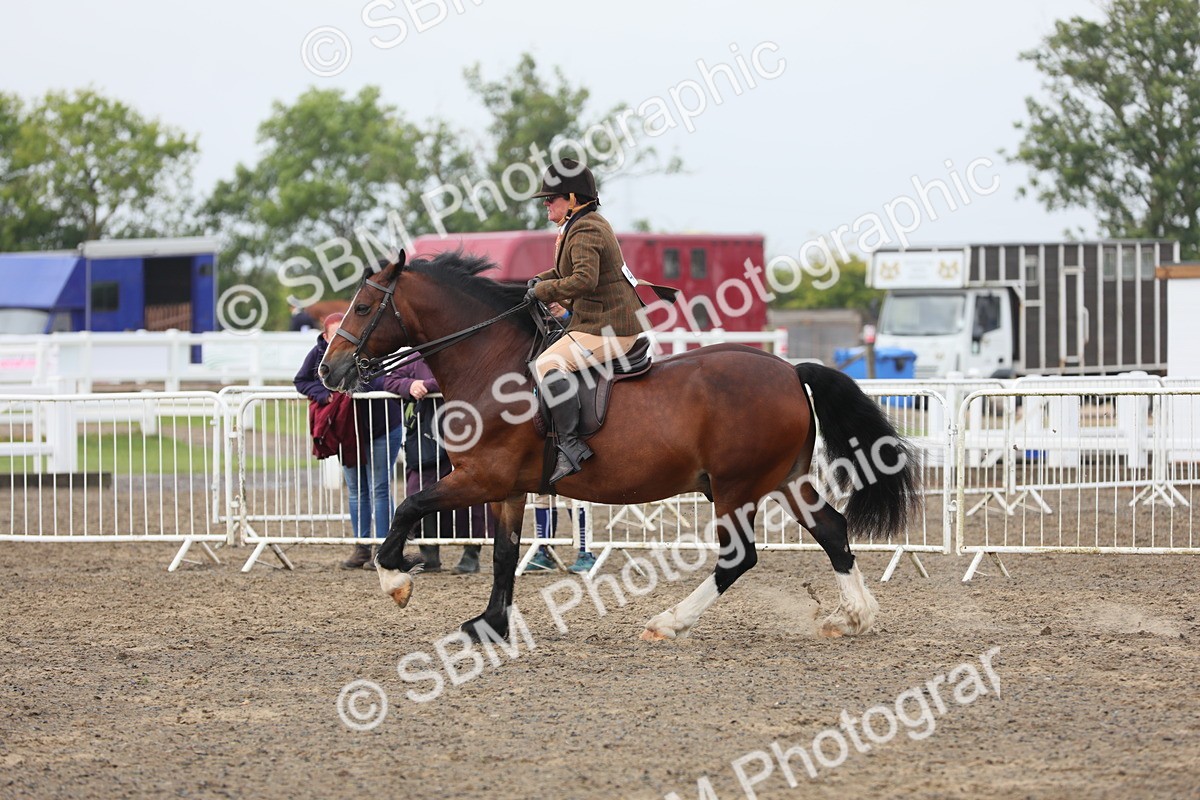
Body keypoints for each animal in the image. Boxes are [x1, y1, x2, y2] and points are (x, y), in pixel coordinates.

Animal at [319, 250, 918, 642]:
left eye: (365, 305)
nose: (330, 370)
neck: (491, 364)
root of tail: (790, 370)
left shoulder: (479, 478)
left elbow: (408, 507)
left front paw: (396, 580)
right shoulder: (508, 489)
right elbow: (506, 555)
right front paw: (490, 625)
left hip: (736, 487)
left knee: (738, 557)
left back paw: (668, 622)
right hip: (785, 480)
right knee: (832, 531)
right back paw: (856, 616)